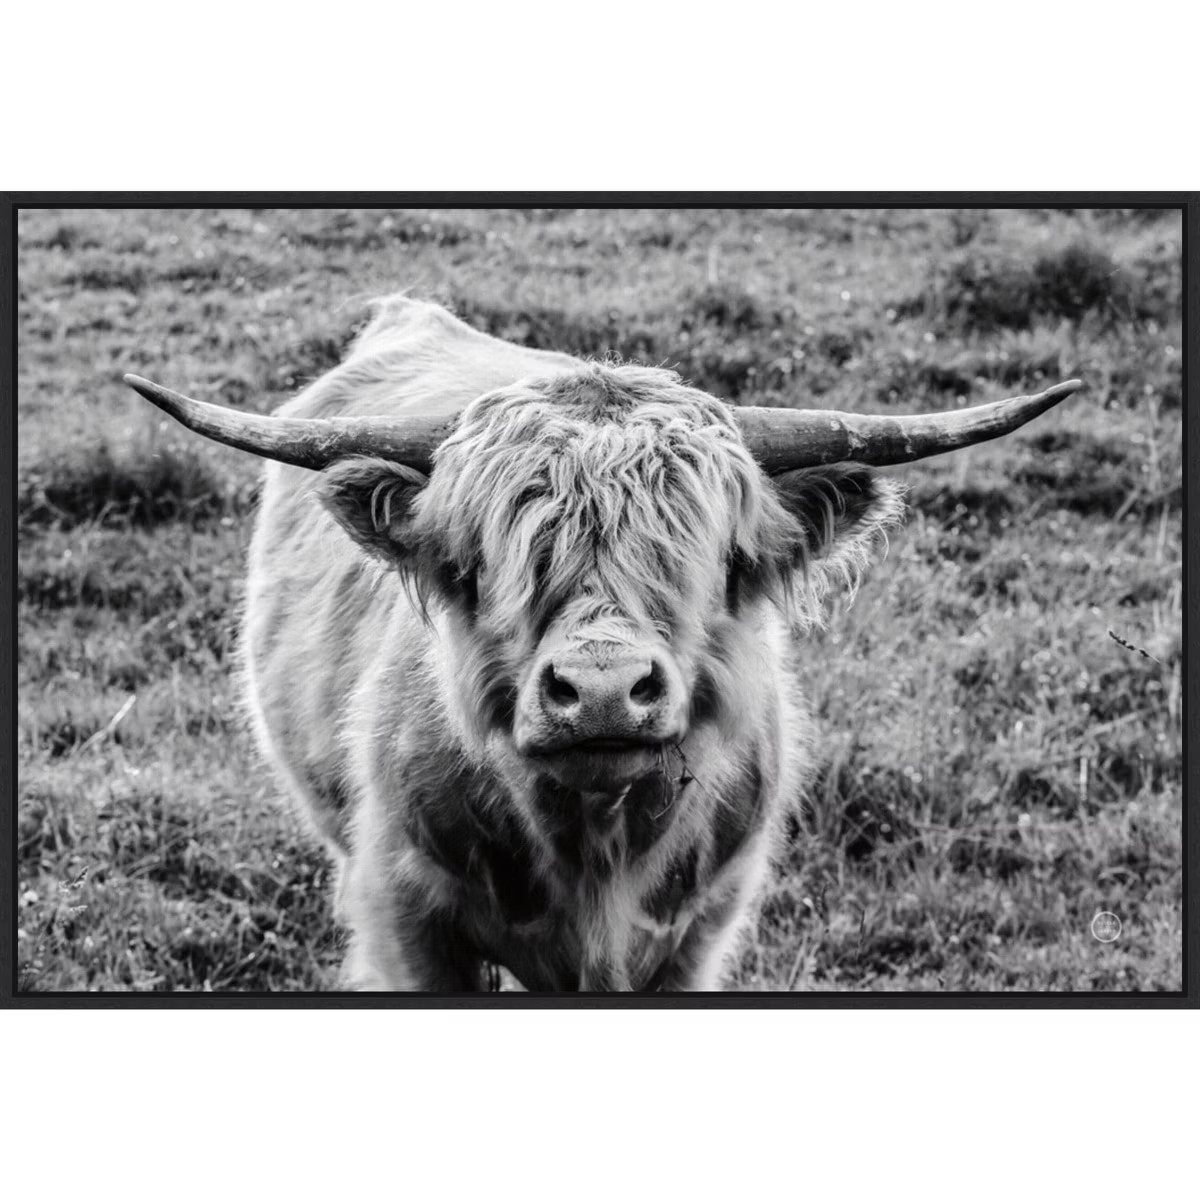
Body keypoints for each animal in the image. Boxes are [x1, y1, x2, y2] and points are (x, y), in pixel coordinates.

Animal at [125, 294, 1081, 992]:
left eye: (714, 557)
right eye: (489, 559)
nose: (602, 691)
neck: (595, 851)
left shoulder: (701, 929)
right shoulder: (405, 915)